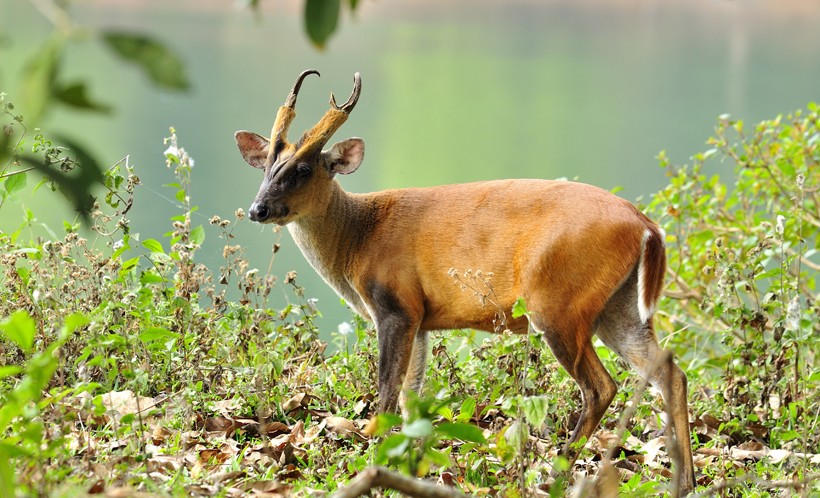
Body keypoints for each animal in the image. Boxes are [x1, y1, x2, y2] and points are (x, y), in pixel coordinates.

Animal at [234, 70, 696, 494]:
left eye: (303, 169)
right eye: (268, 166)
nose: (258, 209)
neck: (358, 238)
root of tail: (646, 226)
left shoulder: (394, 305)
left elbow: (386, 392)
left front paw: (372, 458)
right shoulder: (420, 318)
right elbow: (410, 398)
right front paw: (409, 461)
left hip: (558, 302)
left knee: (601, 386)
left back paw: (556, 472)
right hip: (618, 307)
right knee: (670, 373)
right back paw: (685, 480)